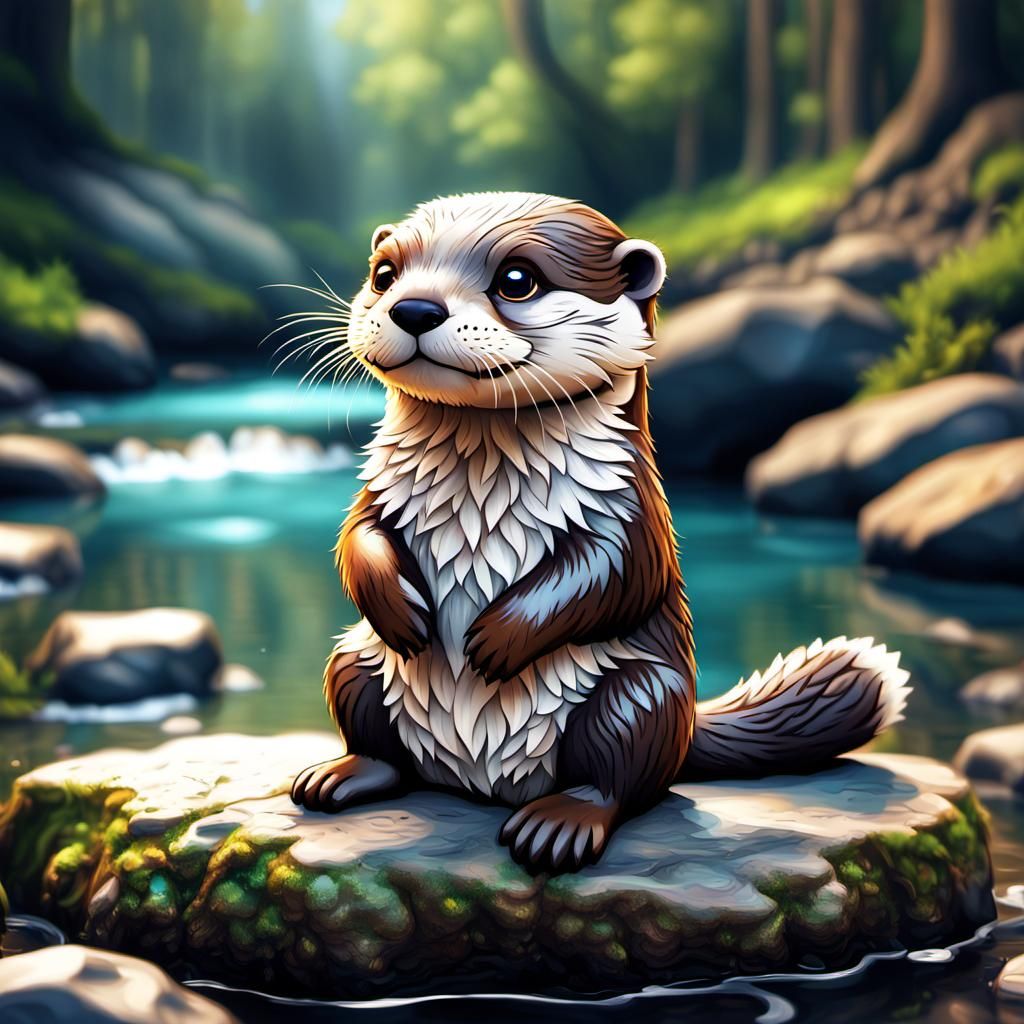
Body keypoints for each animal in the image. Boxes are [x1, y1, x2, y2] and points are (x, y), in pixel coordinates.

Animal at [290, 192, 910, 874]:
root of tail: (476, 782)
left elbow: (615, 575)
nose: (415, 307)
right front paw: (404, 613)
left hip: (639, 695)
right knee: (380, 741)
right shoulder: (380, 490)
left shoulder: (630, 507)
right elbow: (357, 539)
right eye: (384, 274)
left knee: (617, 778)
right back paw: (336, 777)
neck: (479, 486)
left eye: (517, 279)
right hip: (357, 660)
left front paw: (494, 641)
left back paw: (558, 825)